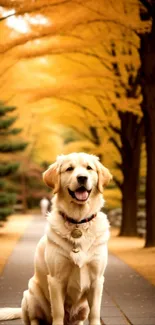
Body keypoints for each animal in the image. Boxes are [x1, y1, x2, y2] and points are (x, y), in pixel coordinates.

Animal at [0, 153, 111, 324]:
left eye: (89, 168)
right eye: (69, 169)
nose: (82, 178)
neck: (78, 222)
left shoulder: (97, 280)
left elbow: (95, 313)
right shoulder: (56, 280)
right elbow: (58, 311)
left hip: (82, 308)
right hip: (31, 294)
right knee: (34, 318)